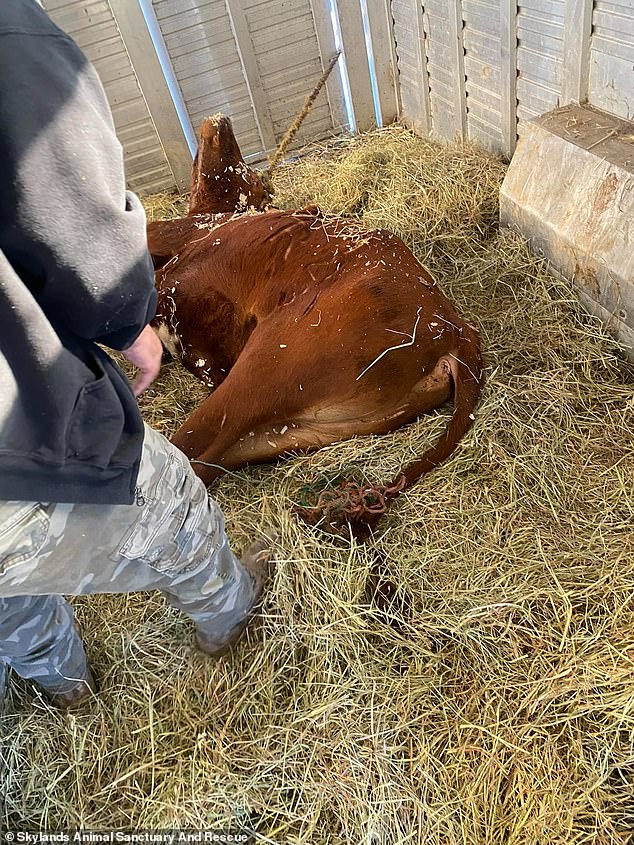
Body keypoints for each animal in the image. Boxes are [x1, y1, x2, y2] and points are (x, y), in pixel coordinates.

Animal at [147, 115, 484, 536]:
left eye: (247, 174)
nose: (221, 120)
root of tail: (455, 328)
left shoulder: (179, 243)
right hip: (302, 428)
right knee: (211, 460)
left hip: (272, 363)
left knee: (193, 445)